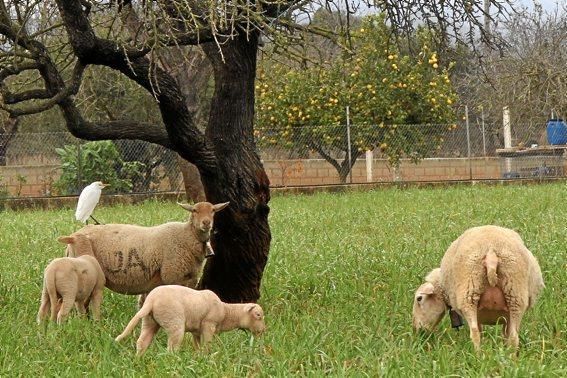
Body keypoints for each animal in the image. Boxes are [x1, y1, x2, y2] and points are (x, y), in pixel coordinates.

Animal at [56, 202, 229, 296]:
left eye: (213, 210)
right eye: (194, 210)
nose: (206, 223)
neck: (186, 234)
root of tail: (72, 236)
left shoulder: (190, 278)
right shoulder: (172, 276)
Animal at [115, 284, 268, 356]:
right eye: (258, 315)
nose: (263, 331)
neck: (225, 312)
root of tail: (151, 300)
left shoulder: (196, 331)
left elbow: (197, 345)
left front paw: (198, 356)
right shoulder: (208, 325)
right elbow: (207, 344)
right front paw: (207, 356)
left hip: (149, 320)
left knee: (142, 341)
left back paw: (139, 358)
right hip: (174, 322)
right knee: (172, 347)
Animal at [412, 224, 544, 352]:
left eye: (419, 298)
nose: (417, 330)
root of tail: (491, 249)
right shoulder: (505, 318)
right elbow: (505, 335)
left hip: (469, 293)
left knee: (475, 333)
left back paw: (477, 356)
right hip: (515, 295)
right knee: (513, 336)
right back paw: (510, 357)